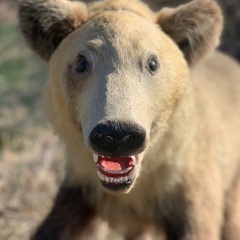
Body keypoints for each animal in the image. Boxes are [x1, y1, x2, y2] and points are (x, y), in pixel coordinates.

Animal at [18, 0, 240, 239]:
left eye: (152, 63)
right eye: (81, 62)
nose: (117, 134)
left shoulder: (185, 183)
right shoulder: (82, 185)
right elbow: (58, 224)